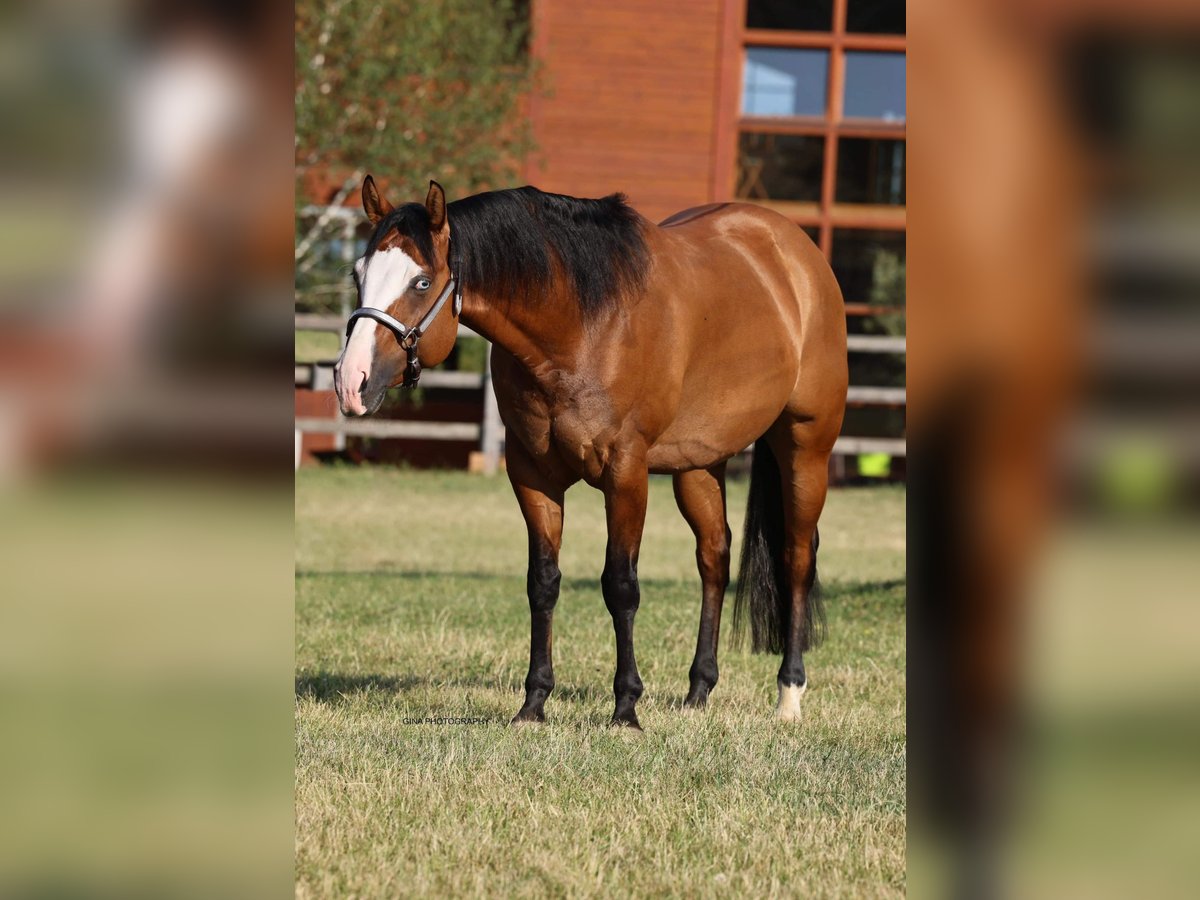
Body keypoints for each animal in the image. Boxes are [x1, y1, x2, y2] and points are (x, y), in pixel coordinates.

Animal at [333, 177, 849, 734]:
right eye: (358, 273)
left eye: (422, 282)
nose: (351, 380)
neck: (581, 325)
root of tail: (797, 253)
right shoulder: (532, 474)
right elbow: (543, 582)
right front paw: (534, 703)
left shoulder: (626, 474)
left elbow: (620, 585)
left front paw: (626, 709)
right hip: (698, 465)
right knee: (714, 558)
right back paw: (698, 691)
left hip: (805, 448)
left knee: (796, 558)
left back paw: (789, 694)